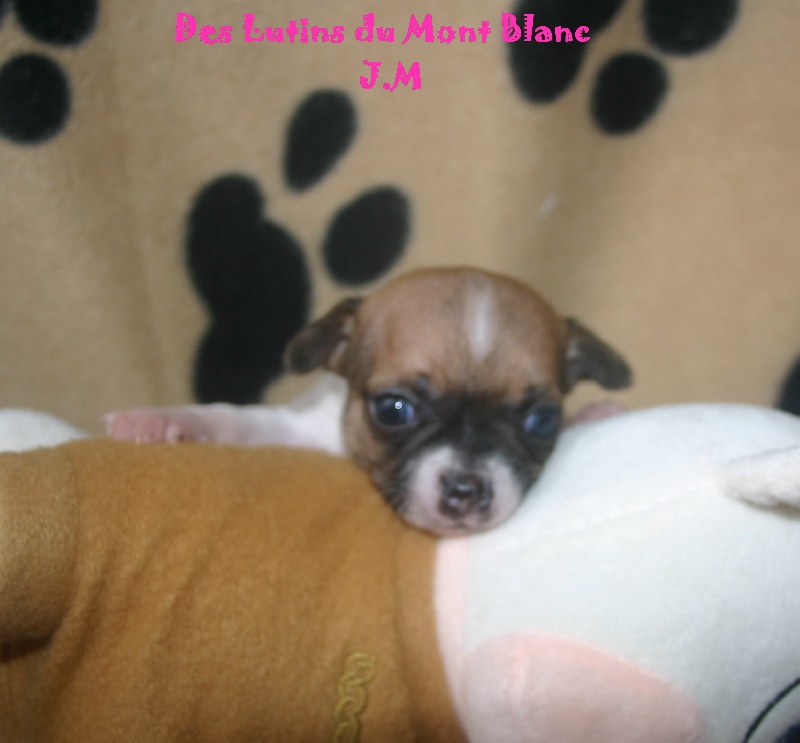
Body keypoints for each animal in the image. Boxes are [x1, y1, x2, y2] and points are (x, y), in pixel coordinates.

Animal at [106, 267, 632, 535]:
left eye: (542, 421)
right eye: (393, 410)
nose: (466, 489)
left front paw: (597, 413)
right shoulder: (298, 427)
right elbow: (236, 420)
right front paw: (162, 420)